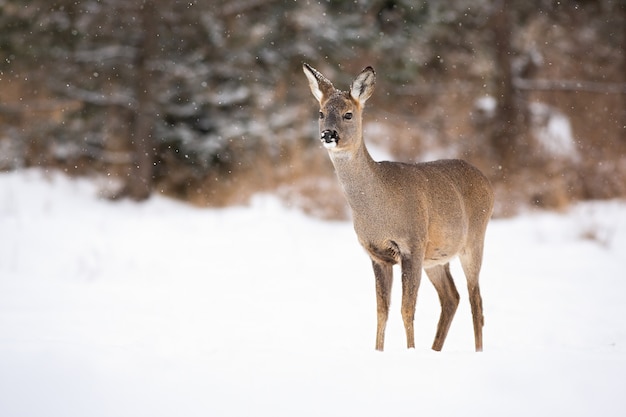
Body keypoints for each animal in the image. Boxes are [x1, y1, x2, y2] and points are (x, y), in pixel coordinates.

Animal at [302, 63, 492, 352]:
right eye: (321, 113)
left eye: (348, 114)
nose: (328, 134)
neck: (379, 209)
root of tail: (487, 182)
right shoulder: (377, 254)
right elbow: (382, 310)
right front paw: (379, 351)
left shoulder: (412, 244)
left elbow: (406, 309)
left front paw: (410, 351)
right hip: (436, 257)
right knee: (452, 297)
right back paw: (435, 350)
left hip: (473, 241)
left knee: (476, 300)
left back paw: (477, 351)